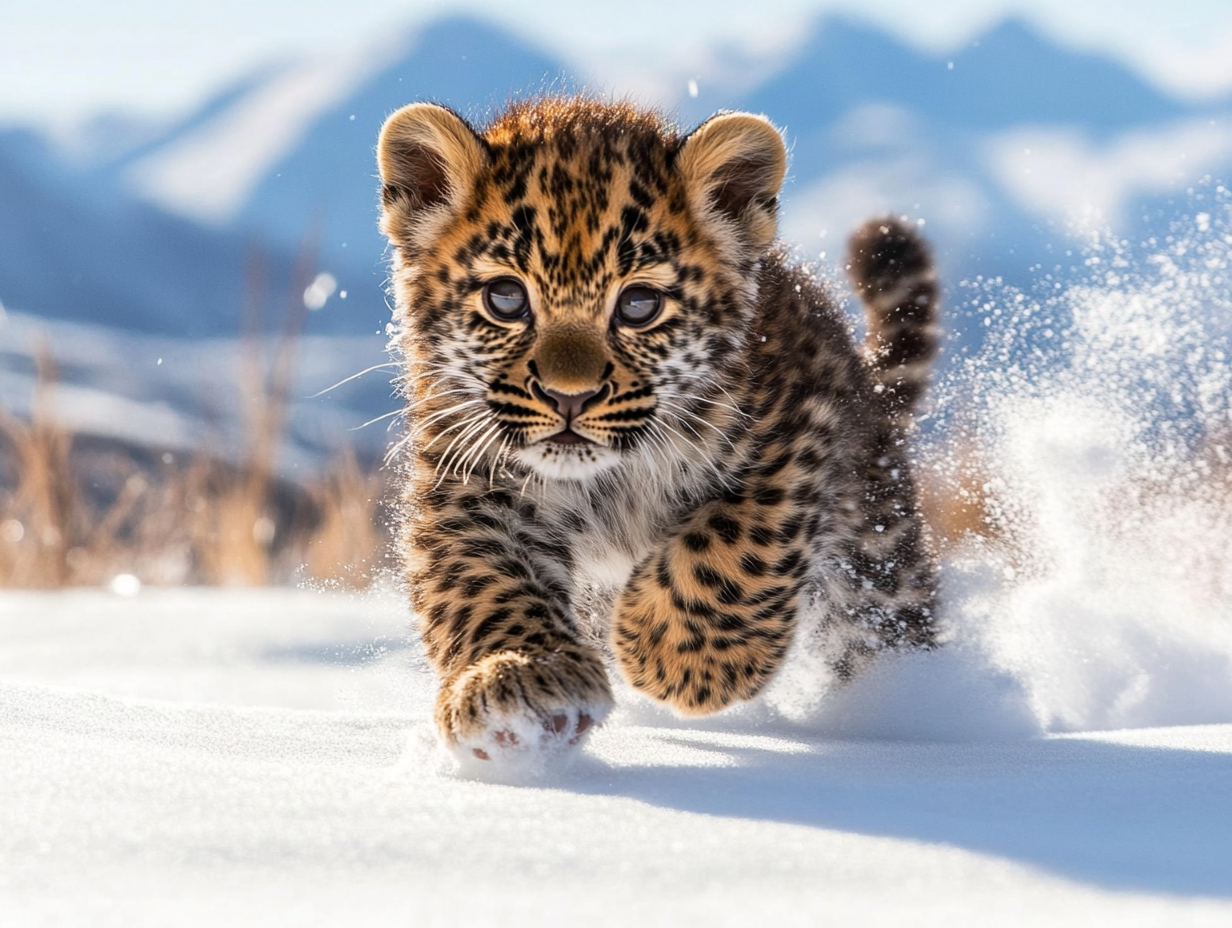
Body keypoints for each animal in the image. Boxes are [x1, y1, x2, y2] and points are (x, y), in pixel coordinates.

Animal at [375, 96, 940, 766]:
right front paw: (518, 683)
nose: (569, 396)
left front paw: (681, 659)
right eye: (506, 298)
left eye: (638, 305)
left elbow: (738, 540)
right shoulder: (471, 474)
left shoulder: (798, 424)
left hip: (874, 552)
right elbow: (483, 579)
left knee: (885, 621)